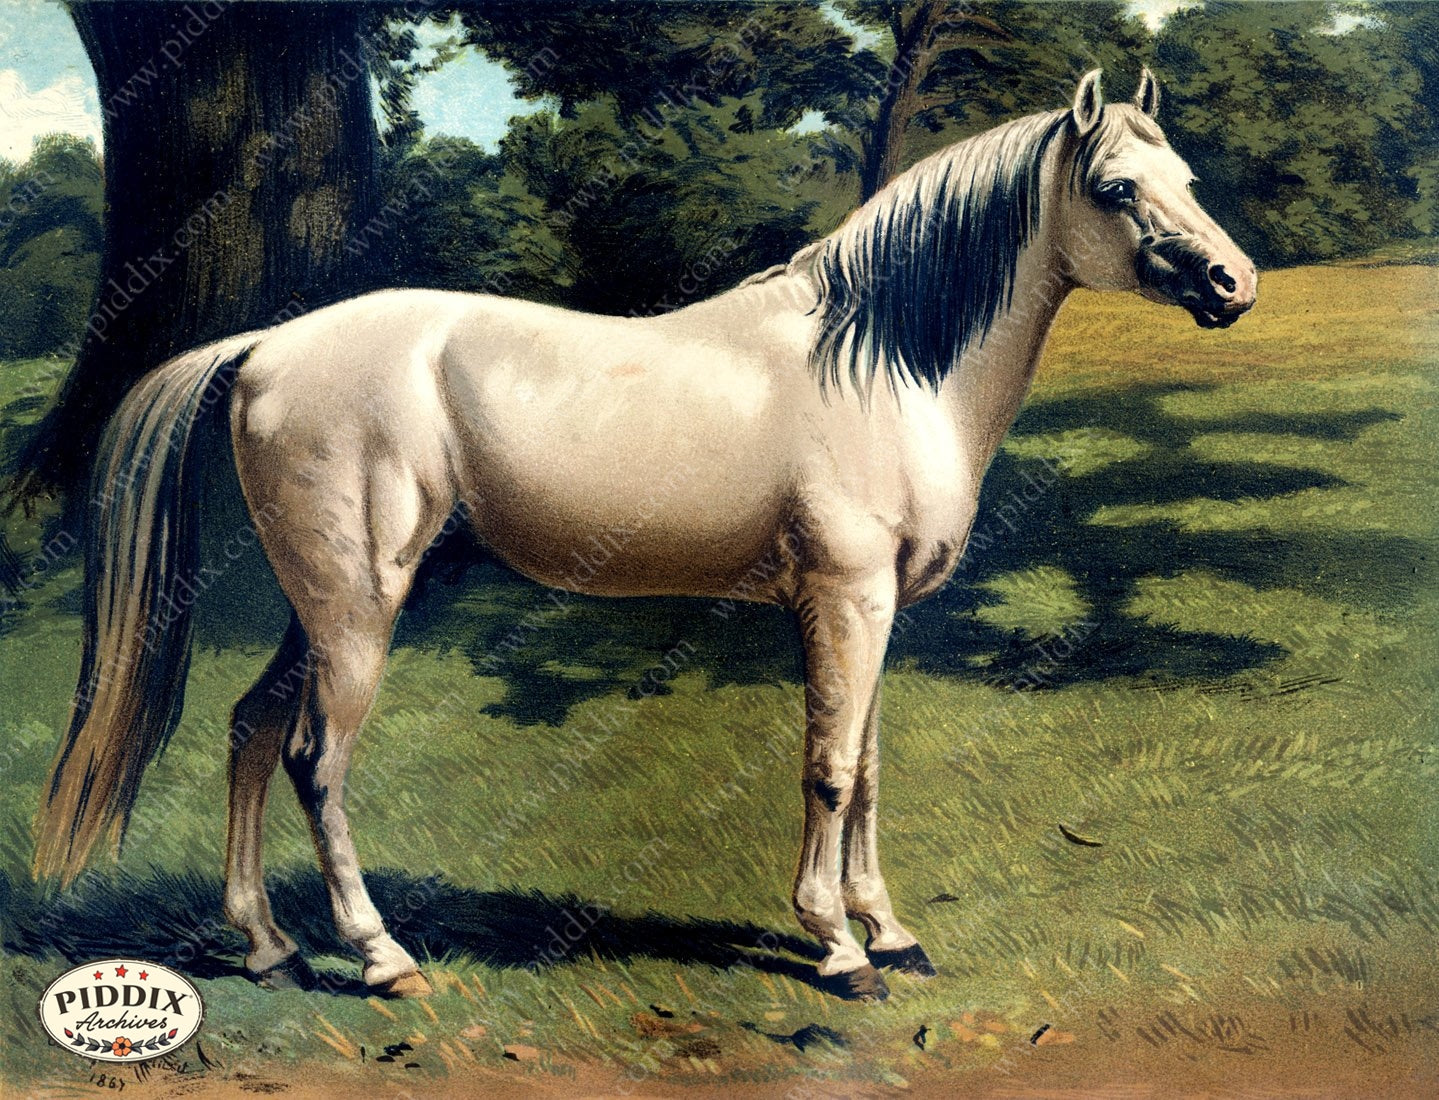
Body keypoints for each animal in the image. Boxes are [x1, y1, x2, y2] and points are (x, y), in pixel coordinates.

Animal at [35, 70, 1255, 1002]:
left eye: (1190, 182)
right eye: (1115, 188)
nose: (1232, 282)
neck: (879, 364)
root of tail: (265, 347)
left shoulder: (883, 609)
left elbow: (866, 767)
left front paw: (893, 931)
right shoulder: (843, 598)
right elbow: (825, 770)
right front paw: (838, 945)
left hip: (333, 605)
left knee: (249, 729)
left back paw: (268, 945)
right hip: (356, 611)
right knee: (313, 760)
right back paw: (381, 959)